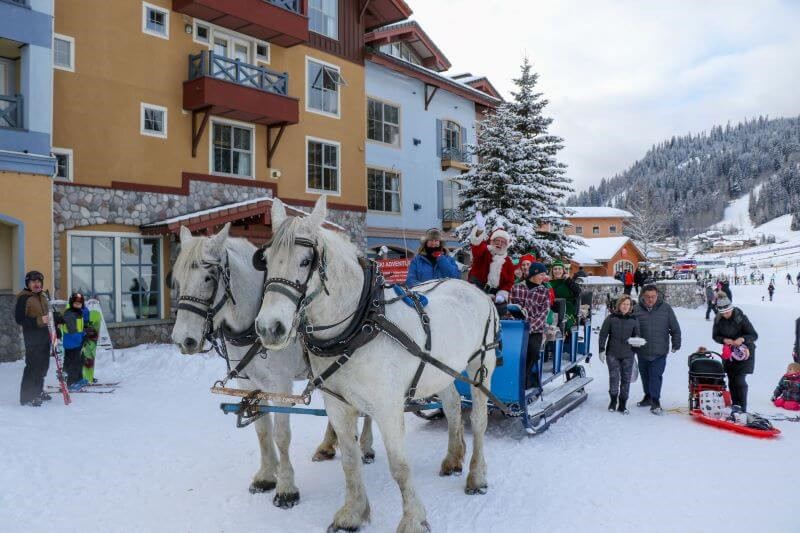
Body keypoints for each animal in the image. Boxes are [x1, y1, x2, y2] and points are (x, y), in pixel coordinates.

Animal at [170, 222, 376, 510]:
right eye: (177, 279)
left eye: (209, 277)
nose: (183, 340)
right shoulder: (248, 384)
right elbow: (262, 431)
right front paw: (267, 476)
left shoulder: (280, 385)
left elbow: (281, 435)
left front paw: (286, 488)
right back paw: (327, 445)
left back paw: (366, 447)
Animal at [253, 196, 496, 532]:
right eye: (265, 260)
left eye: (305, 261)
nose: (269, 328)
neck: (359, 324)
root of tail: (472, 288)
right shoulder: (338, 405)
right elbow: (349, 460)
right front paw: (353, 513)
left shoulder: (388, 407)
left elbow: (400, 466)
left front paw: (413, 519)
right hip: (440, 371)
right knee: (452, 407)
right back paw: (452, 459)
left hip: (480, 367)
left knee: (480, 421)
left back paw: (477, 476)